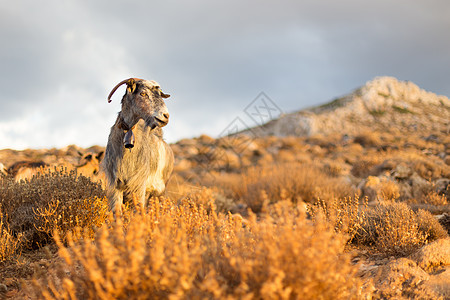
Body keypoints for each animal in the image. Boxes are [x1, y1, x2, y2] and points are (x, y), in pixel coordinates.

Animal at [102, 78, 174, 212]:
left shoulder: (139, 184)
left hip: (158, 191)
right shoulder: (116, 184)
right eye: (143, 93)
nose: (166, 116)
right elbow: (117, 211)